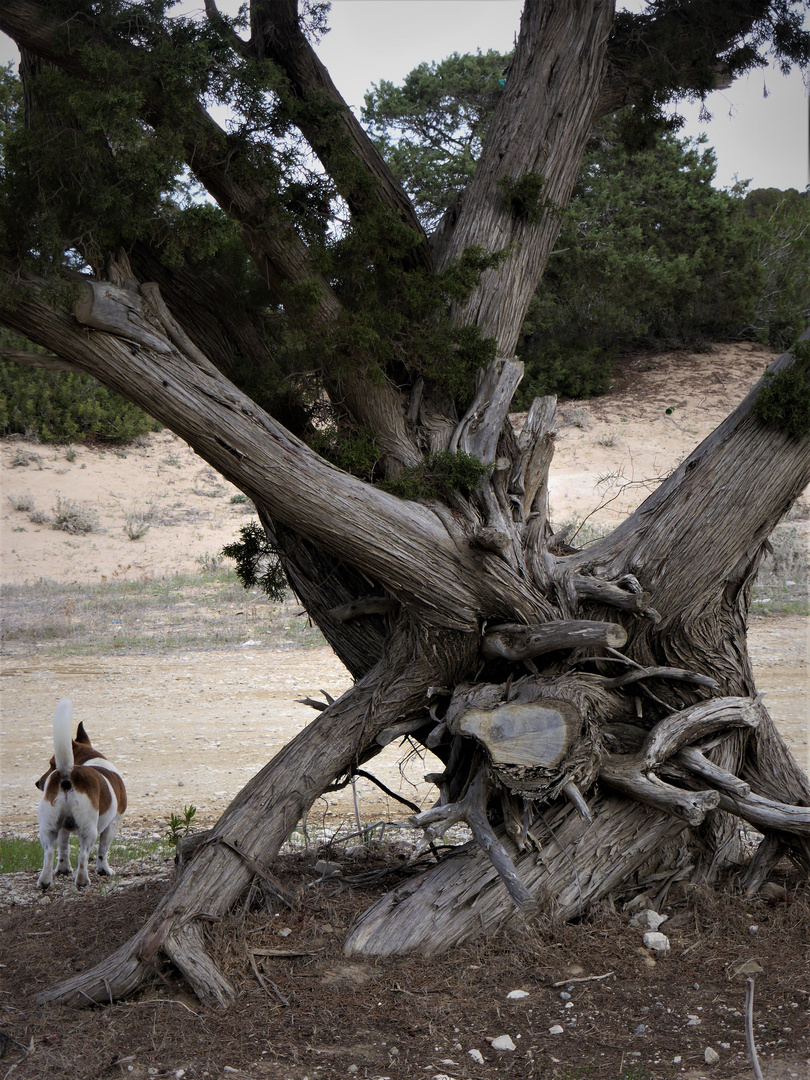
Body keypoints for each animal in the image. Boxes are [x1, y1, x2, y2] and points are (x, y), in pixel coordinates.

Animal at [35, 695, 126, 889]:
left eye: (51, 764)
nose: (38, 783)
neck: (90, 758)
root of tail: (67, 772)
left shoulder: (63, 828)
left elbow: (63, 849)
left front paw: (63, 869)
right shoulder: (113, 823)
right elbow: (103, 850)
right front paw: (104, 870)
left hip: (48, 827)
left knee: (49, 853)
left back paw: (45, 881)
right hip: (89, 829)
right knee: (84, 855)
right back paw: (83, 881)